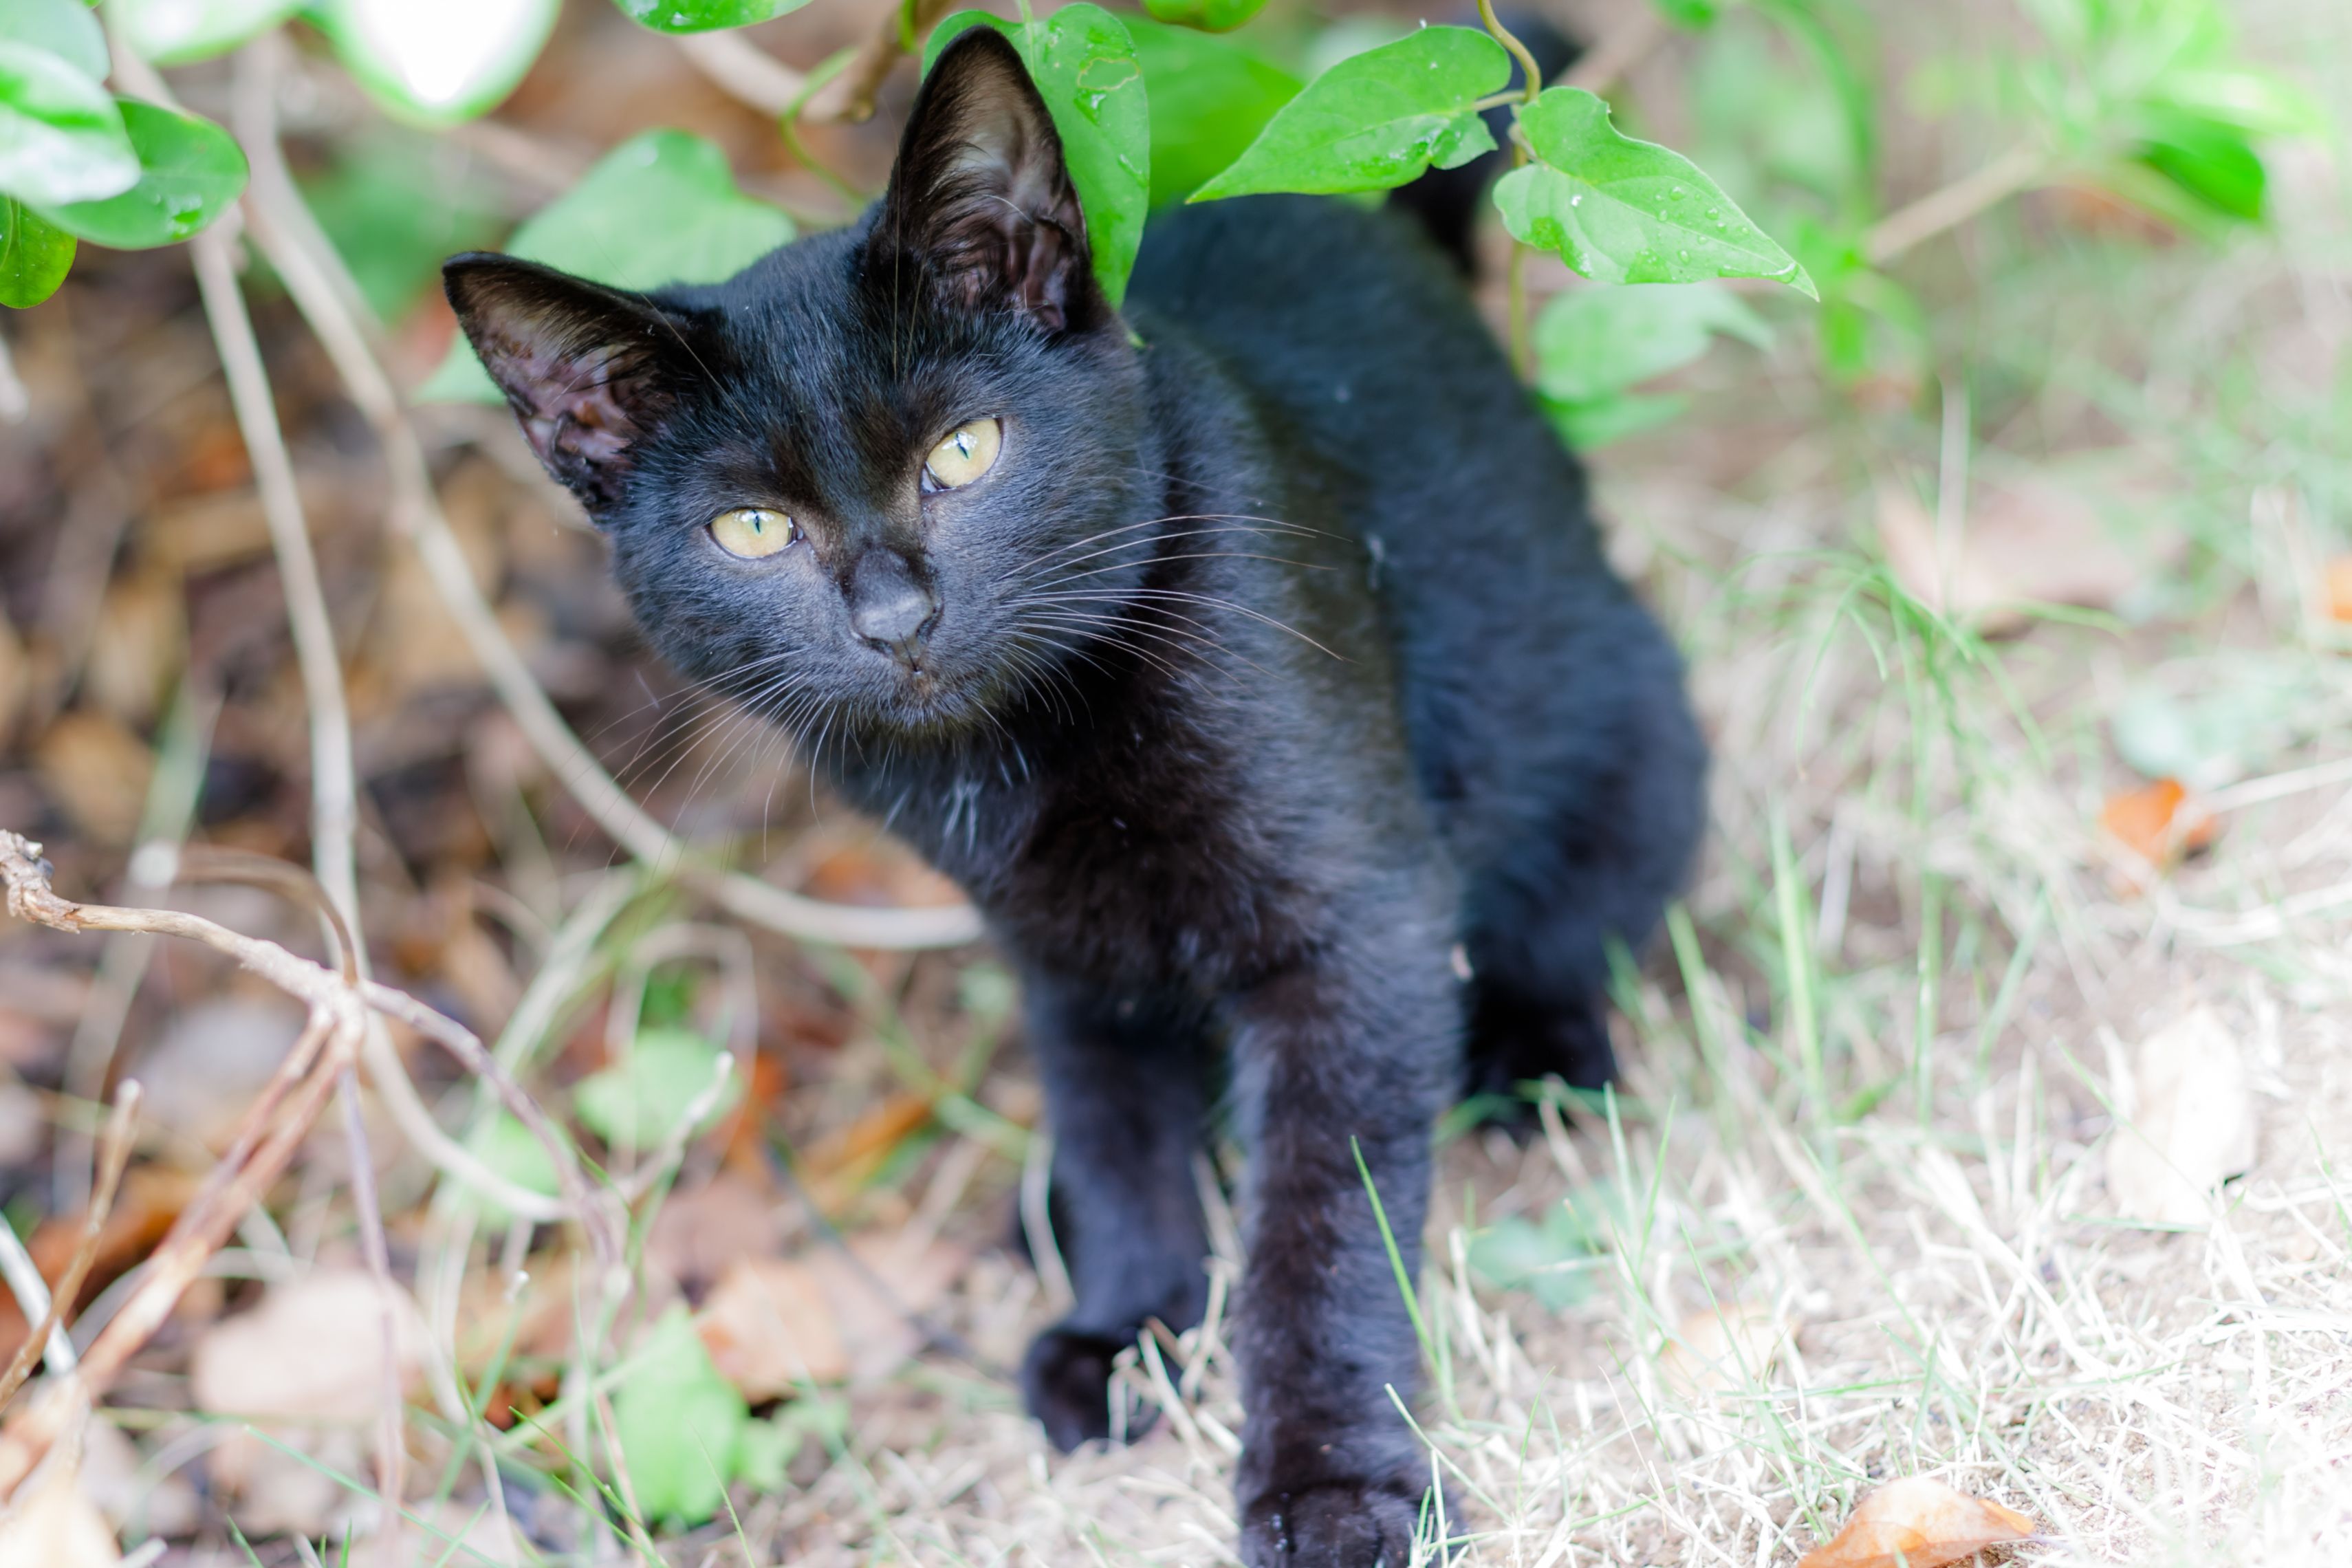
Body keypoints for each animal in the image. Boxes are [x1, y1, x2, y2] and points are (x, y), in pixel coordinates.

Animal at [444, 28, 1693, 1568]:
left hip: (1628, 736)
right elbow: (1114, 1128)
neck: (1023, 754)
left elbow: (1325, 1215)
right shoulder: (1056, 941)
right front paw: (1128, 1326)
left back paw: (1532, 1056)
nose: (893, 617)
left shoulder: (1357, 923)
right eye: (751, 529)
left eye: (965, 452)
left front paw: (1335, 1485)